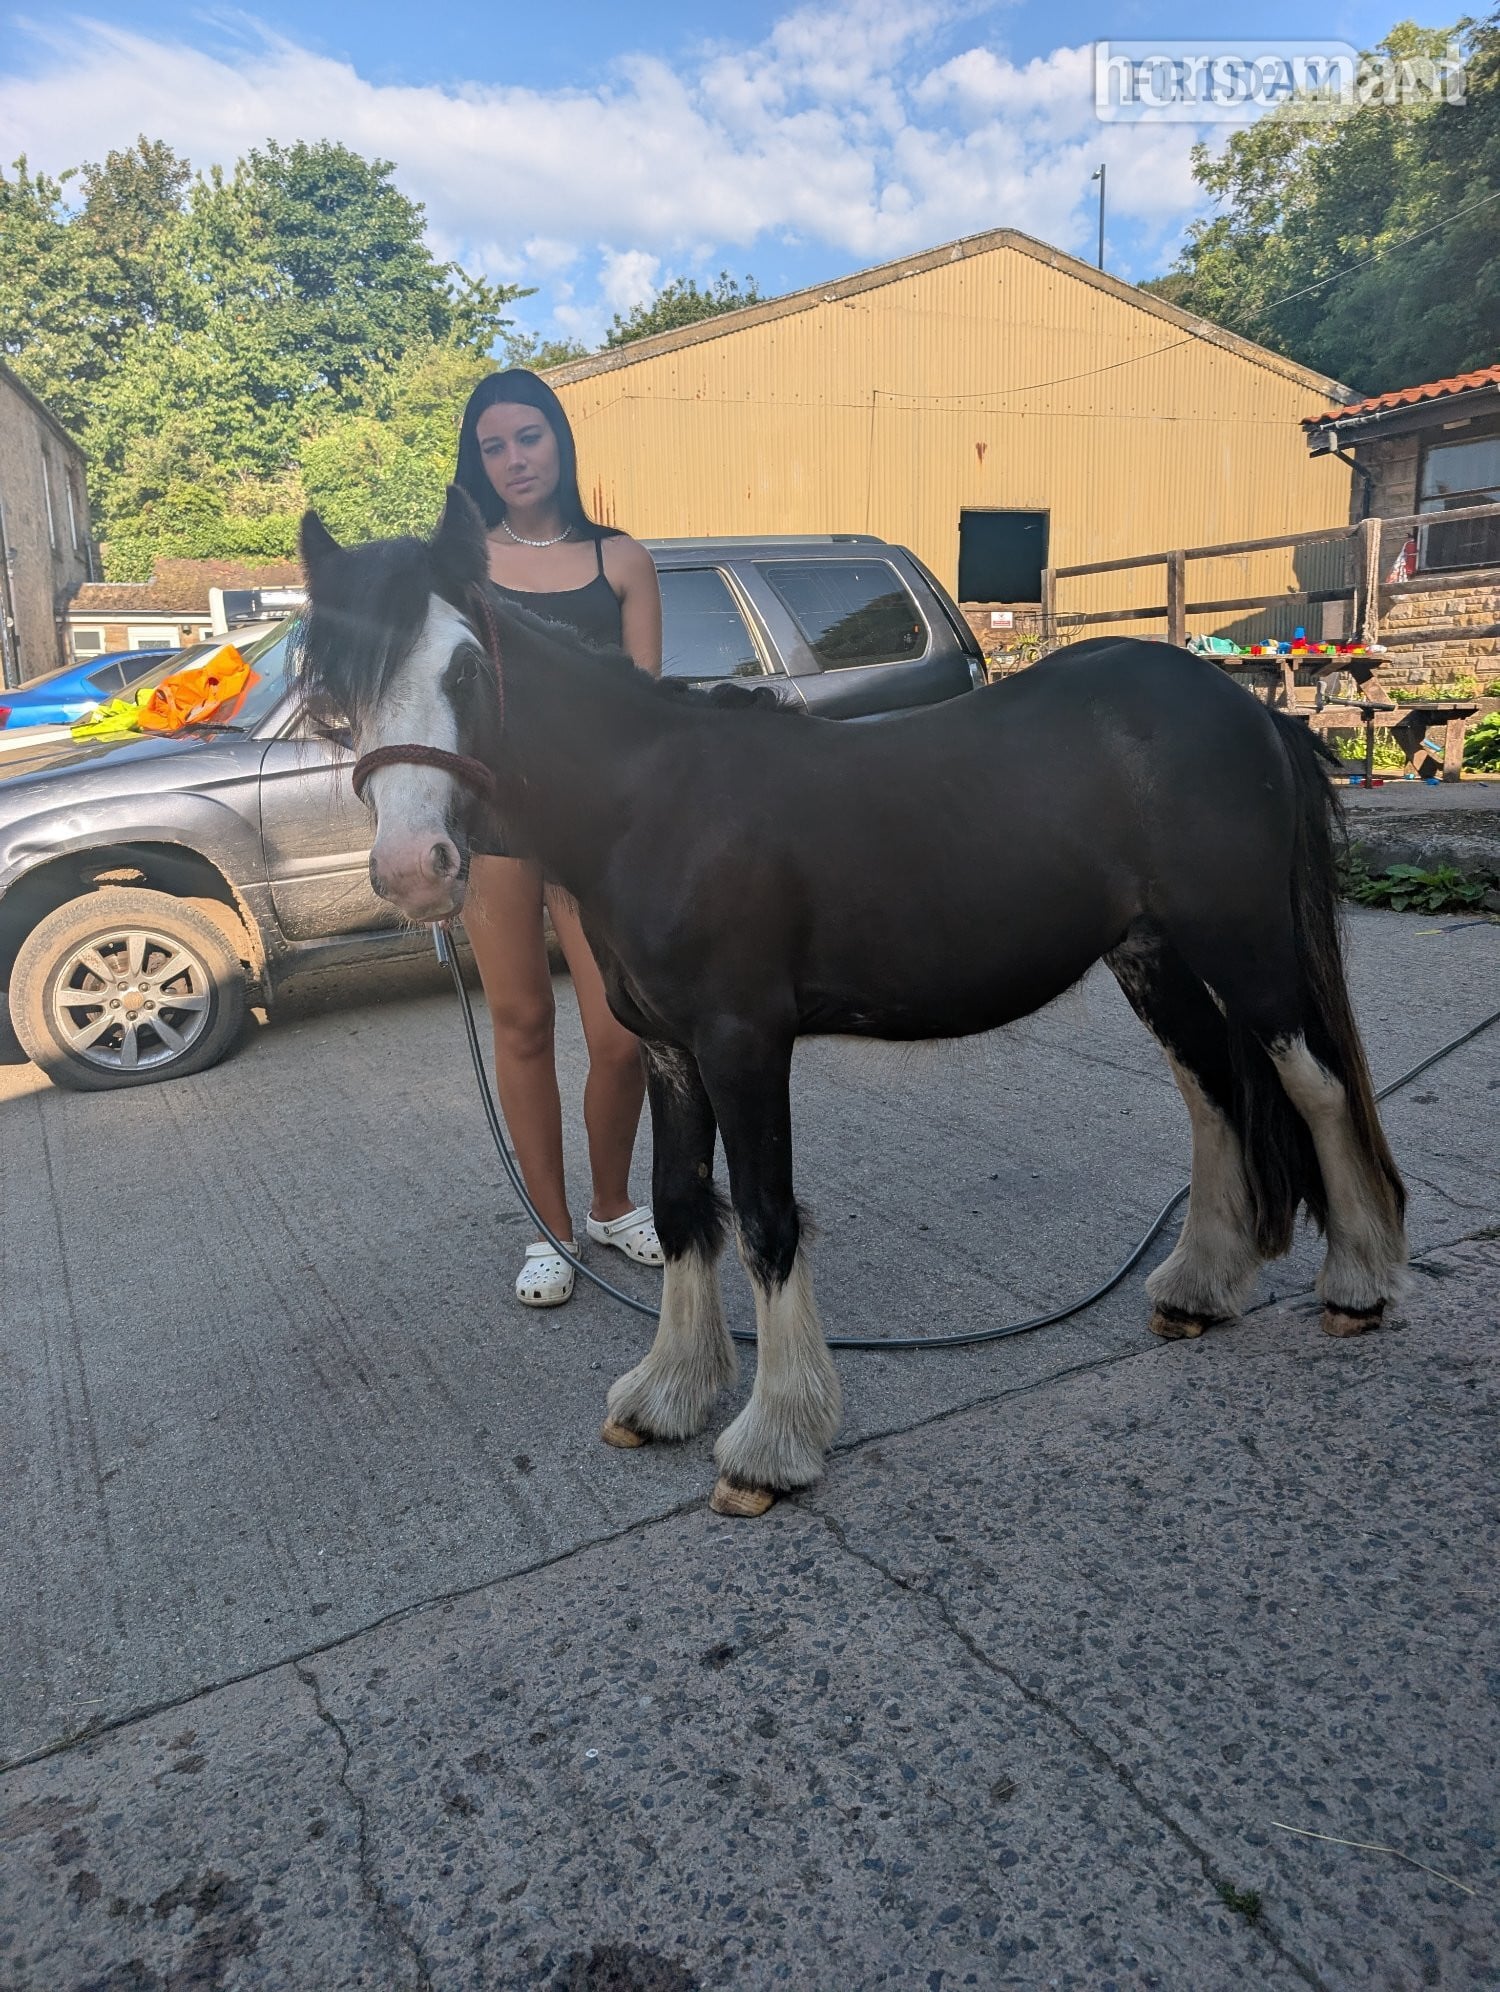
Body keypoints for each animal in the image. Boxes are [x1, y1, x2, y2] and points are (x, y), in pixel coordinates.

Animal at [295, 487, 1407, 1518]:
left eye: (464, 669)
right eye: (342, 698)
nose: (412, 868)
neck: (651, 809)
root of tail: (1246, 708)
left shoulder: (745, 1043)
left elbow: (766, 1220)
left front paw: (771, 1443)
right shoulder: (669, 1051)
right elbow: (681, 1204)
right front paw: (668, 1395)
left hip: (1244, 944)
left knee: (1312, 1084)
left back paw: (1358, 1282)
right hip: (1152, 957)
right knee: (1213, 1089)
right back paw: (1200, 1288)